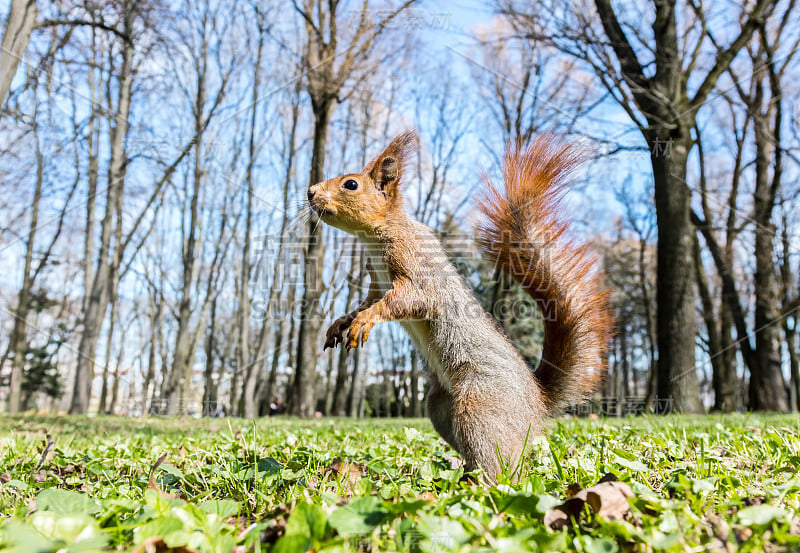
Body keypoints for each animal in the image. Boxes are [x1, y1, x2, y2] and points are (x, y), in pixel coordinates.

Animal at [306, 132, 612, 480]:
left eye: (351, 184)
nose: (310, 192)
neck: (376, 235)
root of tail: (538, 403)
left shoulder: (417, 271)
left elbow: (405, 301)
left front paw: (365, 321)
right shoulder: (376, 284)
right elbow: (364, 303)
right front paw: (341, 323)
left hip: (479, 407)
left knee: (500, 467)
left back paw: (477, 482)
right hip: (440, 406)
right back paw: (460, 472)